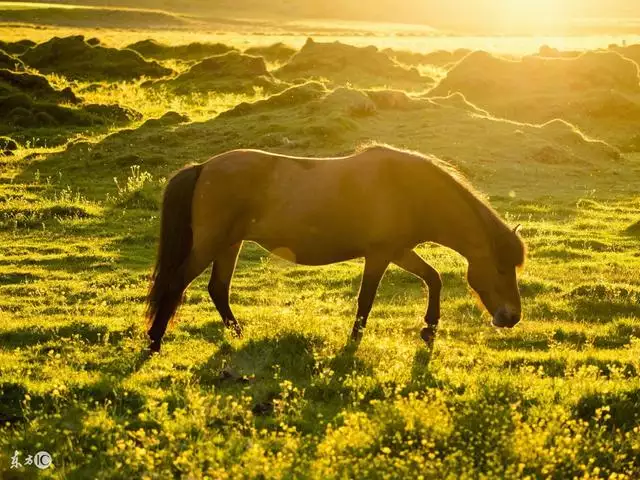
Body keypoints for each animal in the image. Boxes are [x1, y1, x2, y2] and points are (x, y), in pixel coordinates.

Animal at [145, 144, 524, 350]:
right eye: (501, 267)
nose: (512, 318)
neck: (409, 189)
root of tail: (204, 167)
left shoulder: (399, 251)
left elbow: (433, 278)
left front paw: (429, 330)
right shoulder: (381, 254)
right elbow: (367, 298)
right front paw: (355, 340)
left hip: (229, 244)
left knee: (218, 289)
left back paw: (239, 334)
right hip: (211, 244)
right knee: (177, 283)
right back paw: (154, 341)